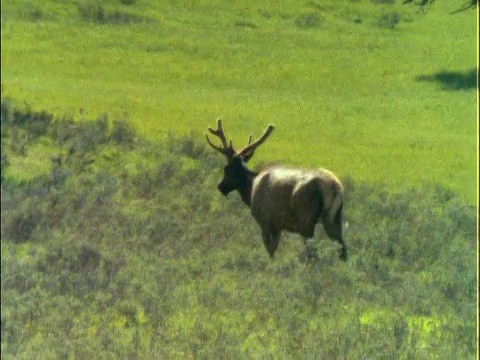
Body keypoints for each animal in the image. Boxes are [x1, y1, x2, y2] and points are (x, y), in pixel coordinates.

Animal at [206, 118, 348, 262]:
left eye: (226, 168)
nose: (221, 186)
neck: (251, 191)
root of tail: (334, 187)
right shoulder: (278, 226)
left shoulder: (266, 222)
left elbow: (271, 252)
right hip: (334, 218)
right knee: (342, 248)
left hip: (306, 218)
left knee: (313, 251)